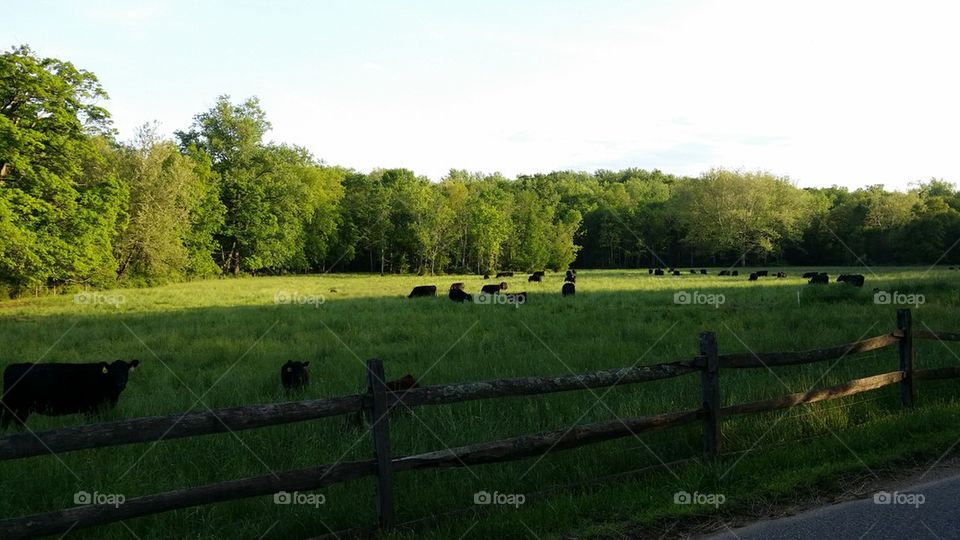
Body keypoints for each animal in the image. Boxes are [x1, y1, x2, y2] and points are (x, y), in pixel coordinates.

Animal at [1, 360, 141, 429]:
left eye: (126, 371)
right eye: (113, 372)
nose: (120, 385)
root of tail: (10, 367)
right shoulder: (92, 409)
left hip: (20, 409)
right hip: (13, 407)